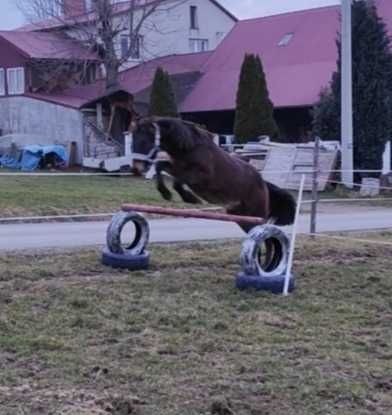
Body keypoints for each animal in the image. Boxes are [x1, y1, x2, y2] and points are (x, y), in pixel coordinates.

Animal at [130, 118, 296, 234]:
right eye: (132, 142)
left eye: (144, 142)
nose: (137, 167)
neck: (190, 147)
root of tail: (264, 185)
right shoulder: (176, 168)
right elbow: (160, 167)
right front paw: (166, 194)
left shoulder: (200, 176)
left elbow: (179, 181)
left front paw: (190, 198)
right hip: (240, 216)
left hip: (256, 214)